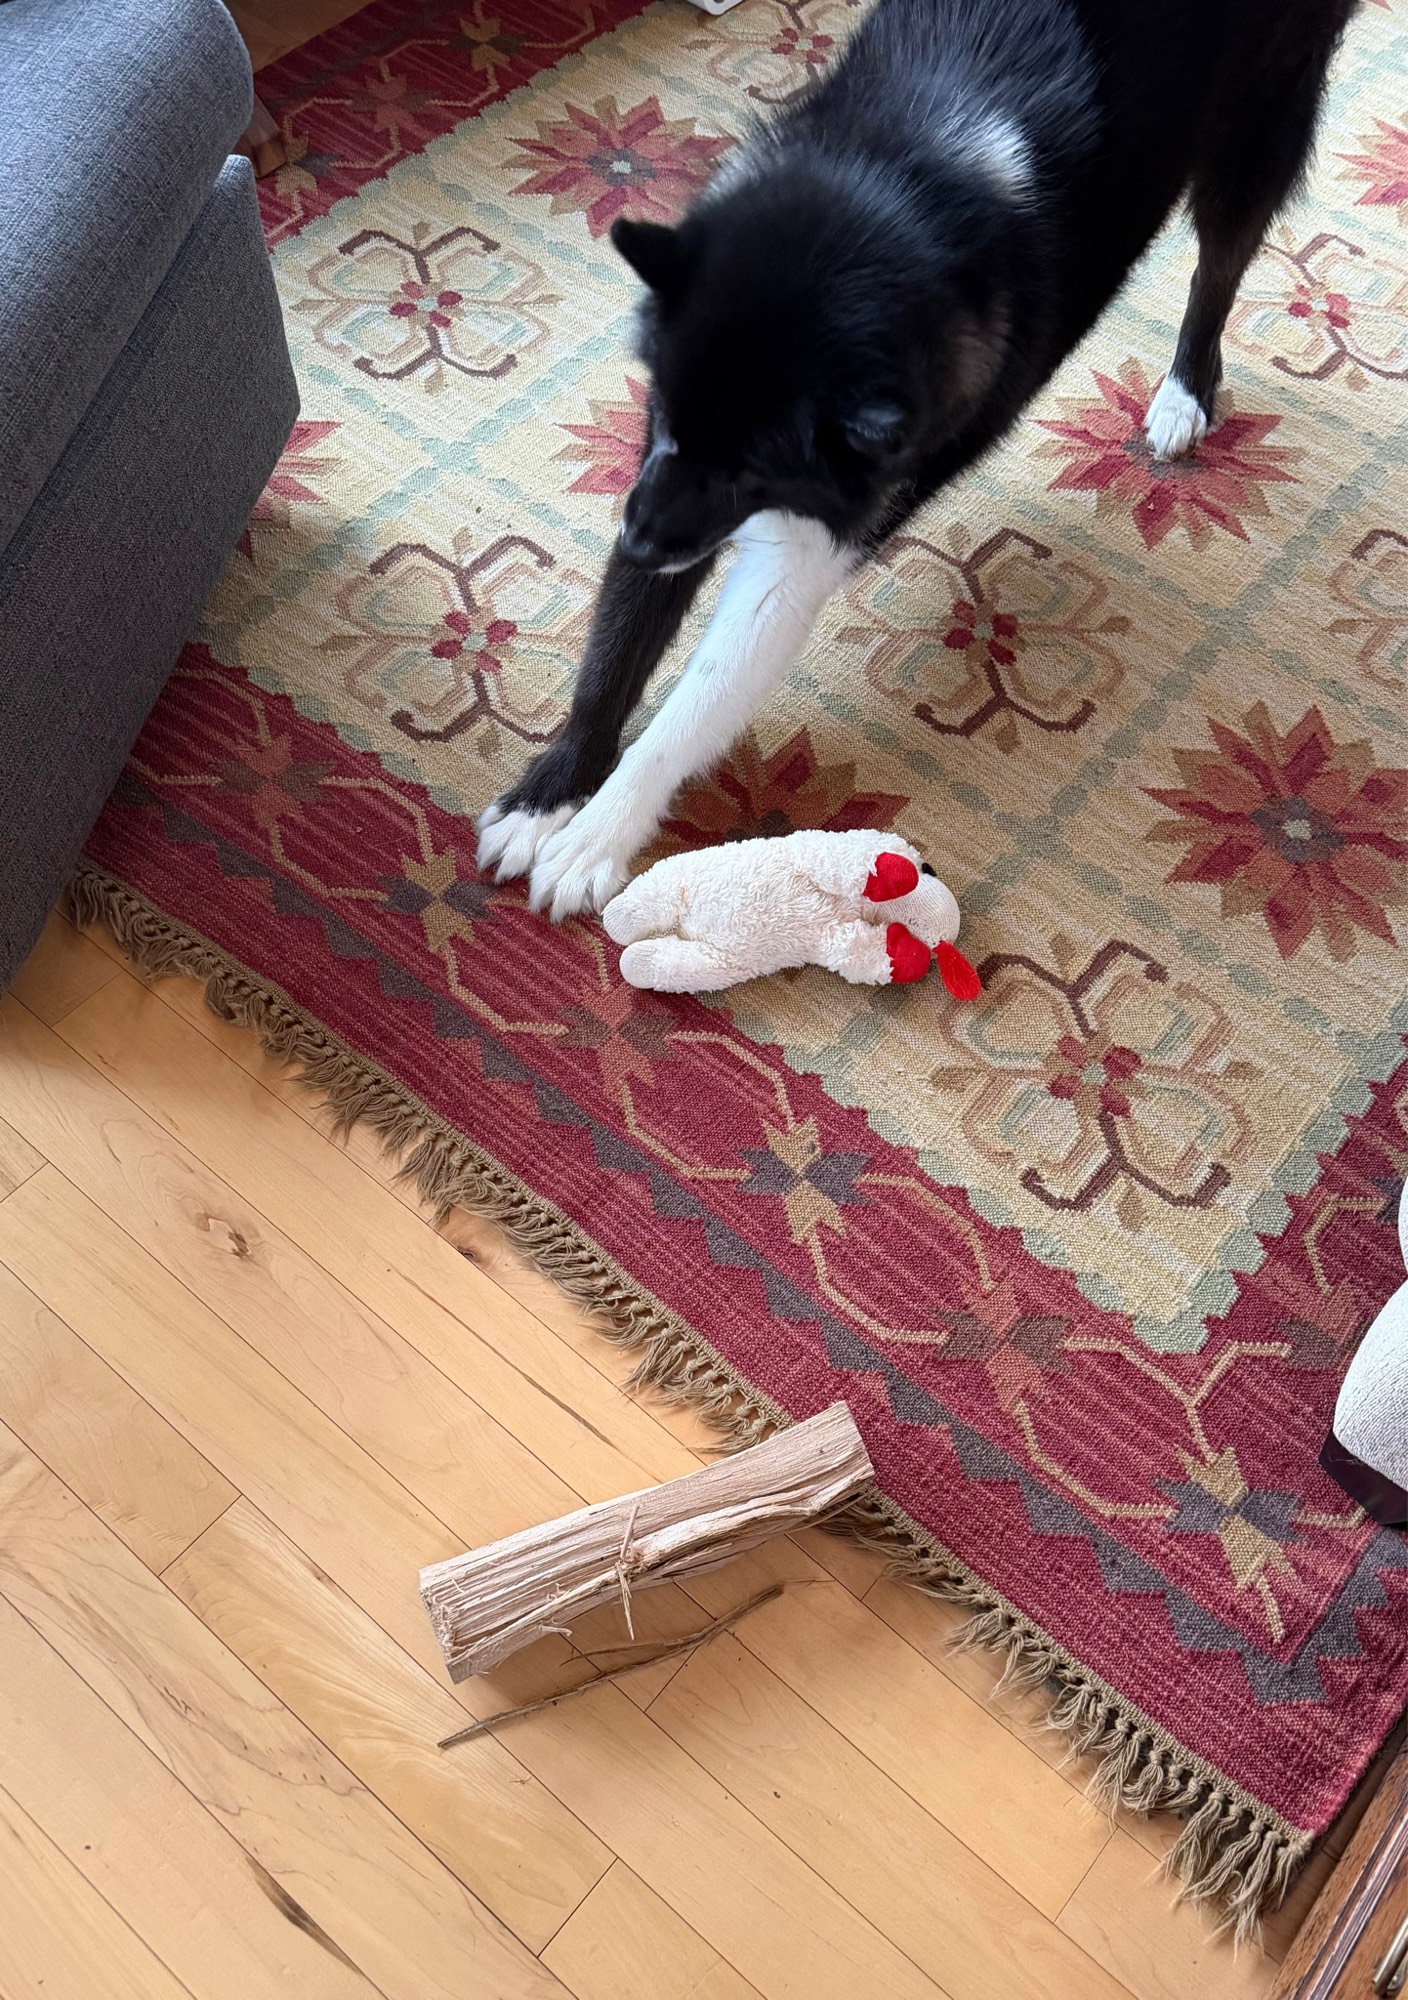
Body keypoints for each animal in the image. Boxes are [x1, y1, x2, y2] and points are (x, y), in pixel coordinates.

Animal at [477, 0, 1355, 921]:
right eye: (665, 420)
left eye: (755, 471)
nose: (638, 542)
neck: (899, 186)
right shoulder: (663, 474)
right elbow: (613, 654)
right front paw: (550, 794)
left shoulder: (809, 530)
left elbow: (701, 696)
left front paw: (596, 837)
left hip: (1260, 122)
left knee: (1219, 268)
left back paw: (1186, 388)